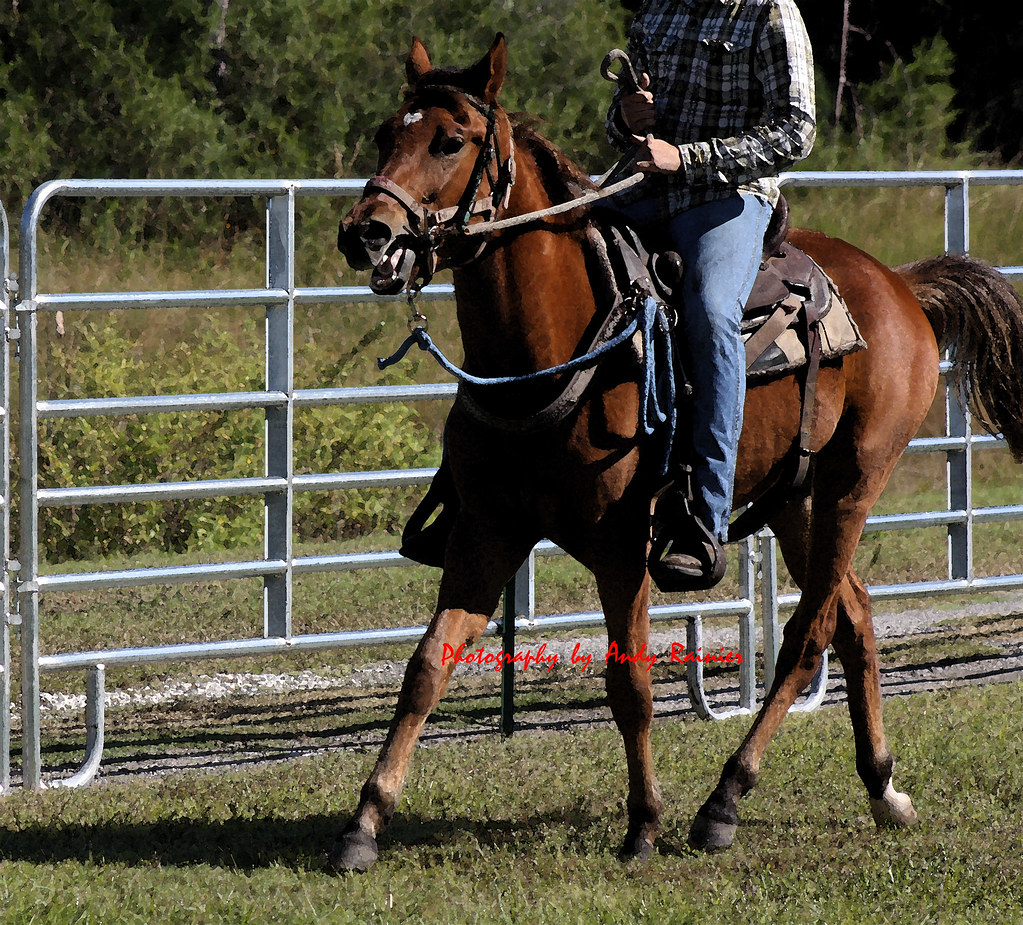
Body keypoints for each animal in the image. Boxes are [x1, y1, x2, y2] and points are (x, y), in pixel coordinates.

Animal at [333, 34, 1023, 871]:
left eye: (449, 140)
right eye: (383, 135)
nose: (365, 232)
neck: (553, 348)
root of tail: (898, 285)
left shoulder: (620, 544)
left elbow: (628, 683)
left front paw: (642, 824)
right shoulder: (484, 533)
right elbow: (426, 665)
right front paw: (364, 821)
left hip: (854, 482)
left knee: (807, 634)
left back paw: (722, 801)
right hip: (795, 497)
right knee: (852, 615)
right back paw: (882, 787)